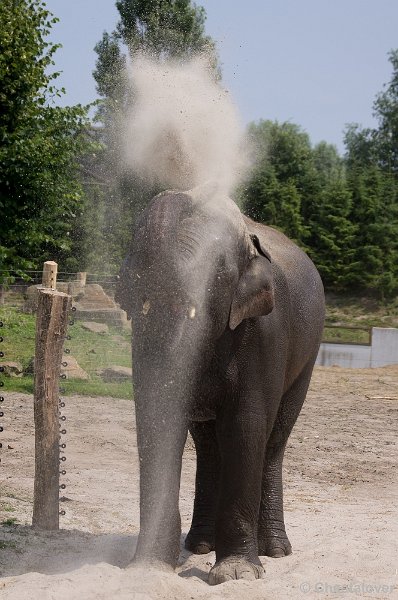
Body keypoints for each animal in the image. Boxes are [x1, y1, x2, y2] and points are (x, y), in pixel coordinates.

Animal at [116, 185, 326, 584]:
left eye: (214, 276)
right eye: (133, 277)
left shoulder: (263, 332)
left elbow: (245, 426)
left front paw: (237, 574)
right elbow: (161, 416)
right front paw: (149, 566)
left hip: (308, 357)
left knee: (273, 441)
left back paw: (275, 551)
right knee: (208, 446)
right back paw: (199, 546)